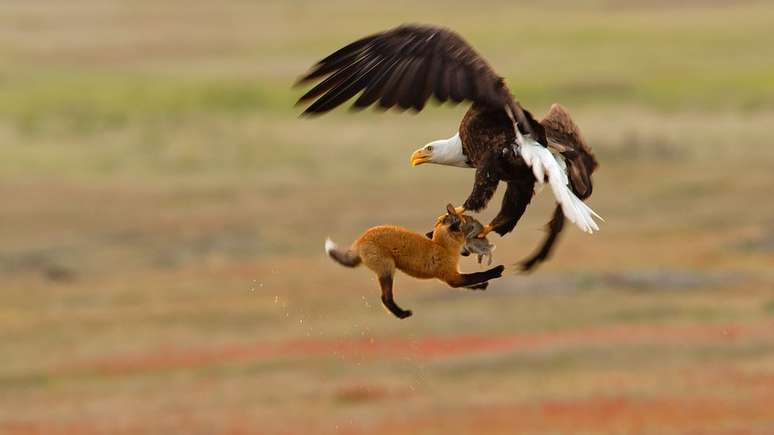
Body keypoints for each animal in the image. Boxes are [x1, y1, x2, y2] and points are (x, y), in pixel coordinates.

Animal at [324, 204, 506, 320]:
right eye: (468, 224)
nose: (467, 252)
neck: (442, 247)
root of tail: (360, 239)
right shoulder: (451, 278)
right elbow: (477, 275)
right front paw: (497, 271)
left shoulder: (453, 275)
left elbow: (471, 282)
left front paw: (481, 286)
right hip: (387, 270)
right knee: (385, 298)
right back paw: (402, 314)